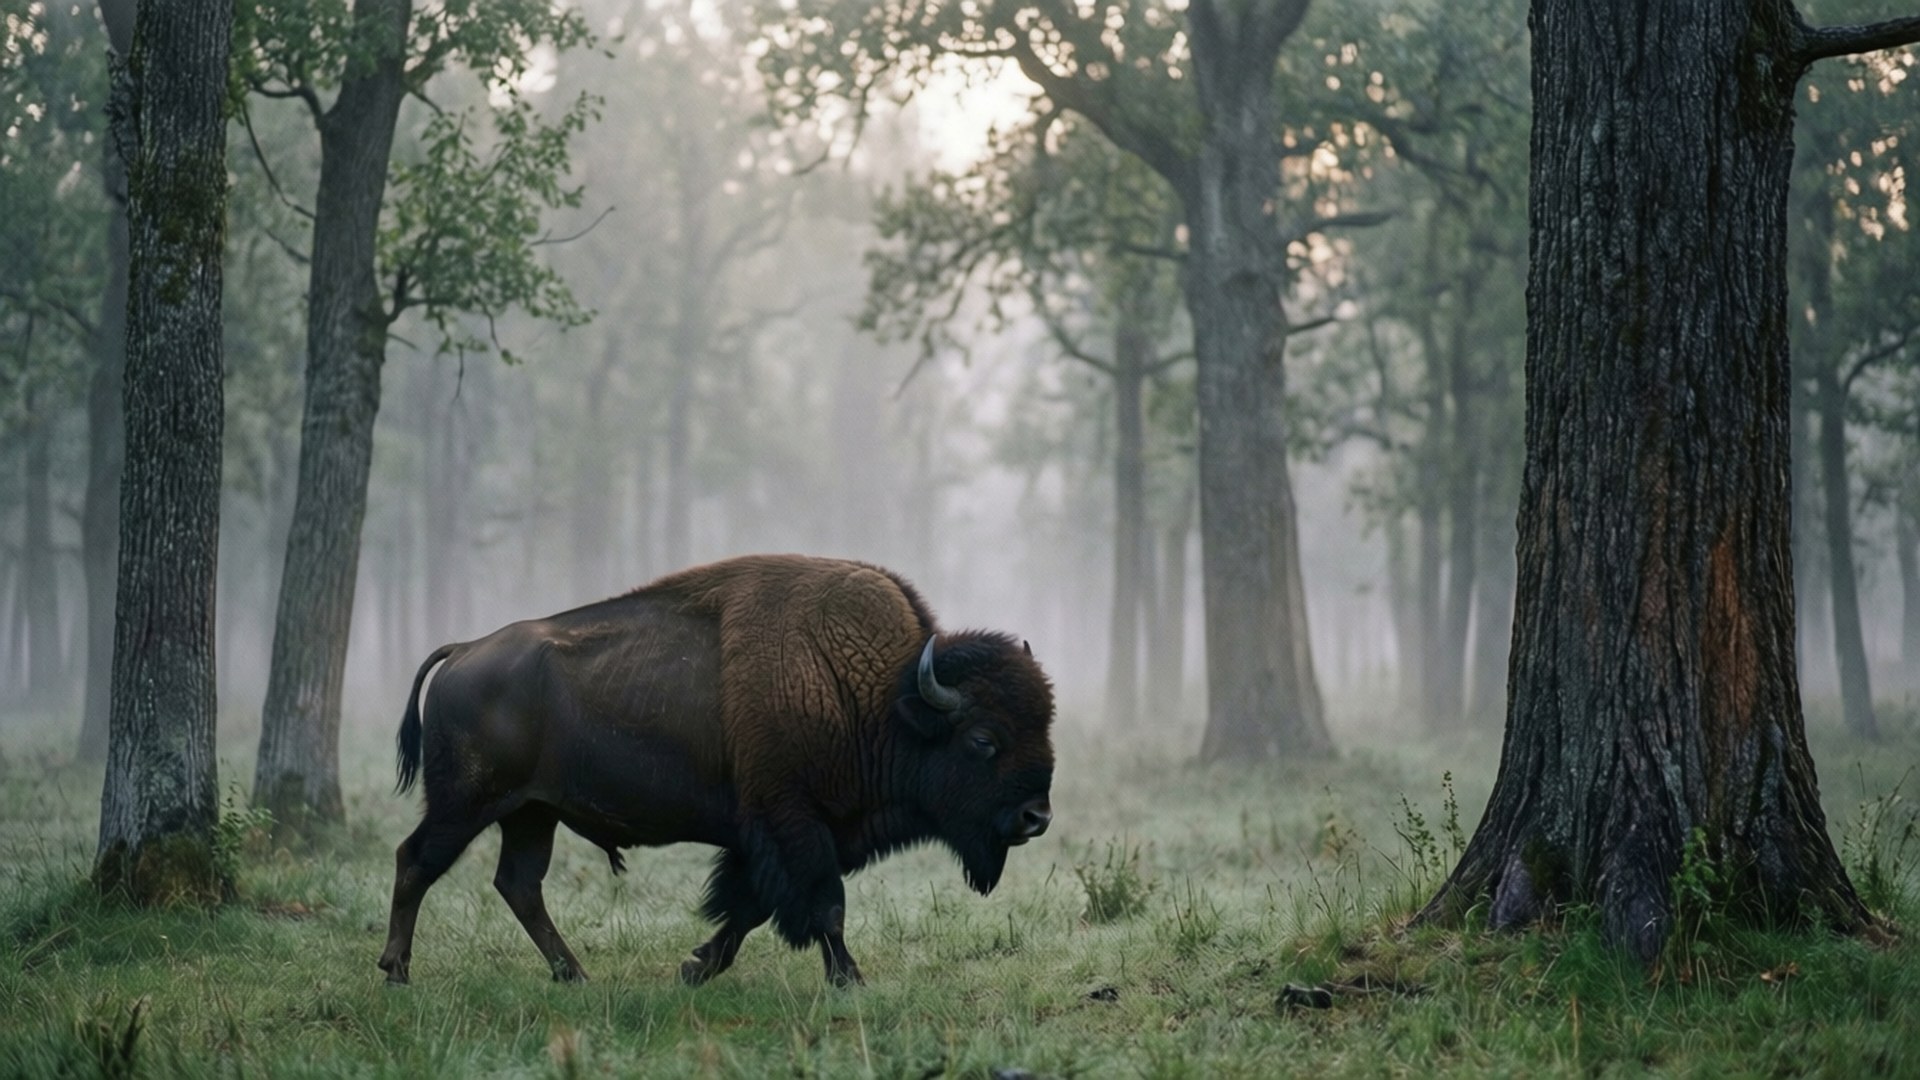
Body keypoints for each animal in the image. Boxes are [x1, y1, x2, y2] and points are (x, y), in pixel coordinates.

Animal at [376, 554, 1056, 987]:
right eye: (984, 740)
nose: (1037, 817)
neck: (878, 697)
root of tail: (464, 651)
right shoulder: (793, 824)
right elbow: (824, 907)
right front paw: (850, 980)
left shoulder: (786, 838)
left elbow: (750, 910)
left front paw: (696, 968)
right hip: (467, 802)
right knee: (416, 861)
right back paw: (396, 972)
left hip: (531, 813)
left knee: (518, 884)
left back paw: (575, 976)